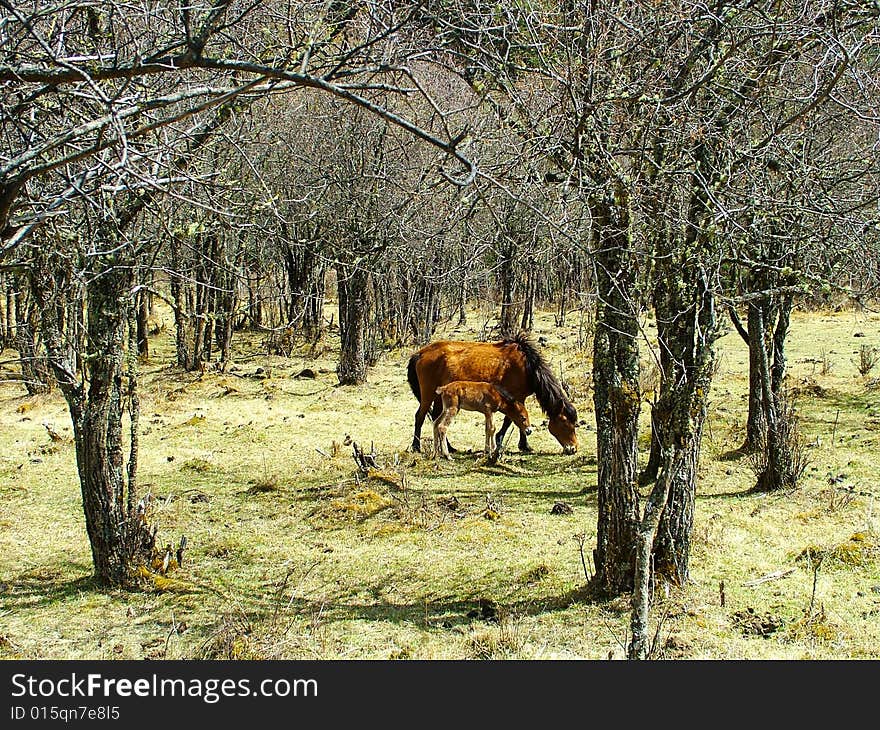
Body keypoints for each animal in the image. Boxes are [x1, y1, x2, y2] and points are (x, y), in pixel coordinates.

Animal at [406, 332, 576, 456]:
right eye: (565, 422)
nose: (573, 448)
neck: (527, 367)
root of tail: (420, 353)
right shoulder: (516, 397)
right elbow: (511, 420)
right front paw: (515, 443)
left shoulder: (518, 398)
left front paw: (521, 444)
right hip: (428, 394)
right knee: (420, 416)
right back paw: (416, 446)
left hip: (439, 397)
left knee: (436, 418)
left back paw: (449, 447)